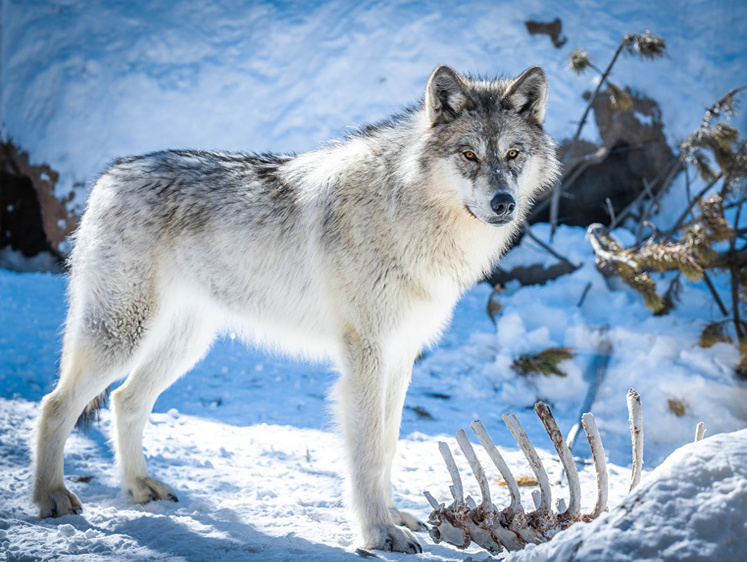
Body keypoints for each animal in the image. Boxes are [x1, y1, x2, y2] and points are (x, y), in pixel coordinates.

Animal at [32, 63, 560, 548]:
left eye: (513, 154)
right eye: (469, 155)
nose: (503, 203)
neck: (408, 213)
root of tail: (109, 177)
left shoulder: (401, 356)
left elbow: (389, 445)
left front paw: (394, 518)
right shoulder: (365, 358)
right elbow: (368, 453)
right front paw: (379, 534)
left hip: (183, 345)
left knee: (125, 399)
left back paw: (139, 486)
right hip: (122, 336)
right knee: (56, 403)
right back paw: (51, 497)